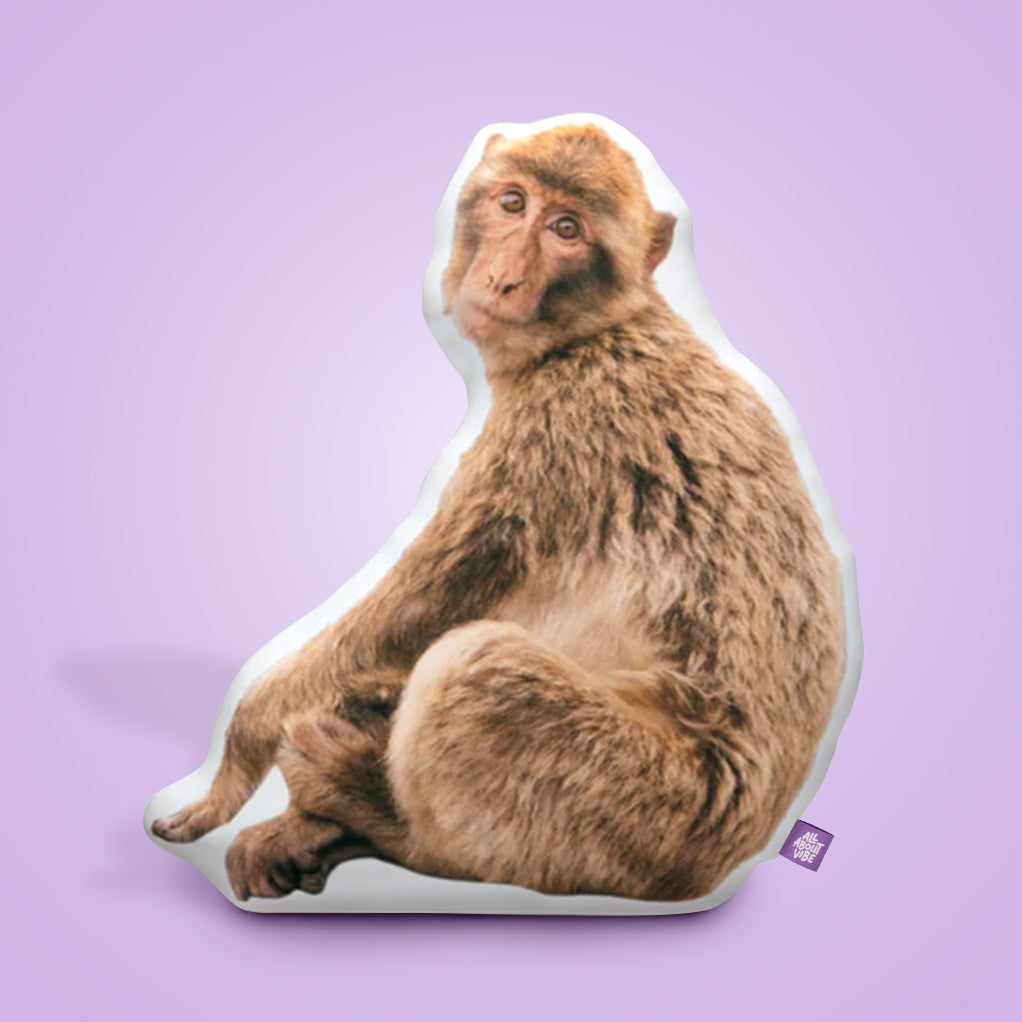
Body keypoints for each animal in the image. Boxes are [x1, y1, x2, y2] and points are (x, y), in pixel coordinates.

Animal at [152, 123, 845, 904]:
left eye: (568, 229)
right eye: (514, 203)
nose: (503, 276)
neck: (596, 333)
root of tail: (727, 861)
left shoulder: (554, 432)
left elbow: (415, 612)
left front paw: (235, 759)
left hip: (644, 811)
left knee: (472, 666)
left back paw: (379, 817)